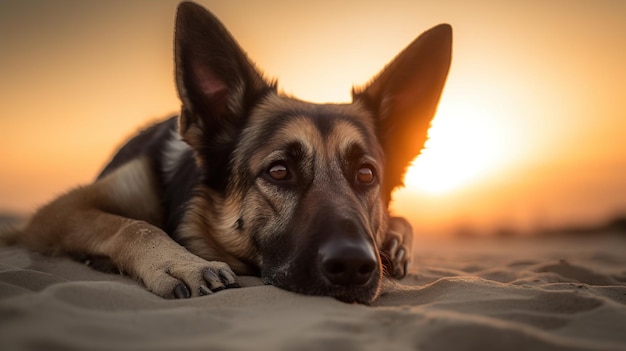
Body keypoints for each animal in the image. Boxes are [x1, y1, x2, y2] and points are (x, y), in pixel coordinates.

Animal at [6, 2, 454, 306]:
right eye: (278, 171)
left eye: (365, 175)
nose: (353, 265)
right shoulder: (57, 212)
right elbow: (132, 226)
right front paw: (180, 262)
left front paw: (394, 241)